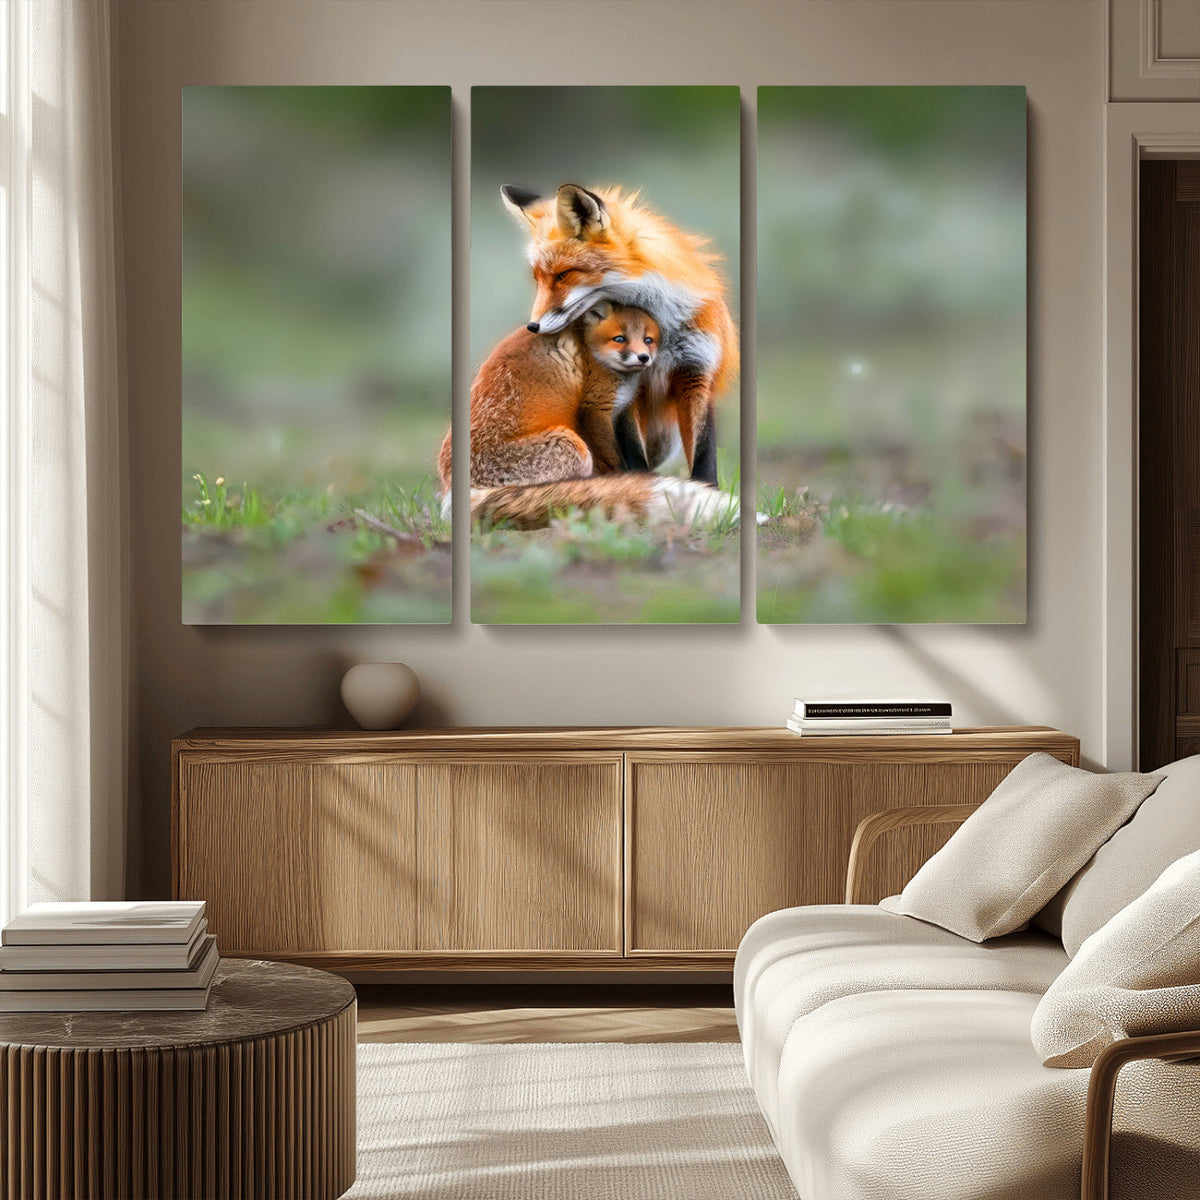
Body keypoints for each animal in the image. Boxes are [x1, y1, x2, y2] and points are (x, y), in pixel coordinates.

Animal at [500, 182, 738, 485]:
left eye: (563, 275)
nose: (532, 327)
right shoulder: (628, 387)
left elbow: (704, 456)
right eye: (538, 279)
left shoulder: (696, 373)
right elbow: (634, 454)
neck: (662, 330)